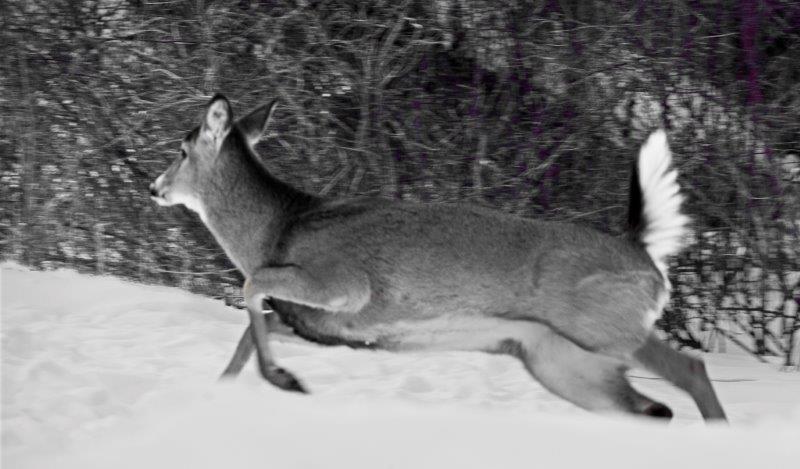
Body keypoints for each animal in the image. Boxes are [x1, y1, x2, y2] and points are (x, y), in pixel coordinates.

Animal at [150, 95, 727, 421]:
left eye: (182, 150)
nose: (154, 187)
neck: (277, 230)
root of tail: (642, 250)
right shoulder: (323, 326)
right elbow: (250, 333)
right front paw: (225, 392)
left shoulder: (342, 284)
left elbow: (250, 290)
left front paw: (286, 380)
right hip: (562, 361)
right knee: (651, 407)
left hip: (603, 326)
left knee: (692, 370)